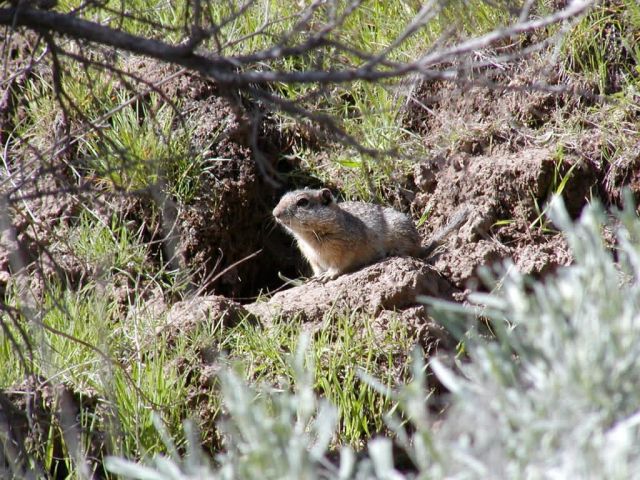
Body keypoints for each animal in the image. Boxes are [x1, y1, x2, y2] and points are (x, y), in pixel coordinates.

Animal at [273, 188, 467, 281]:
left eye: (302, 202)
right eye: (282, 197)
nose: (275, 213)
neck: (309, 236)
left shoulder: (342, 249)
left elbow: (338, 265)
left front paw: (328, 276)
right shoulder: (312, 257)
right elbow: (317, 269)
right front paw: (315, 278)